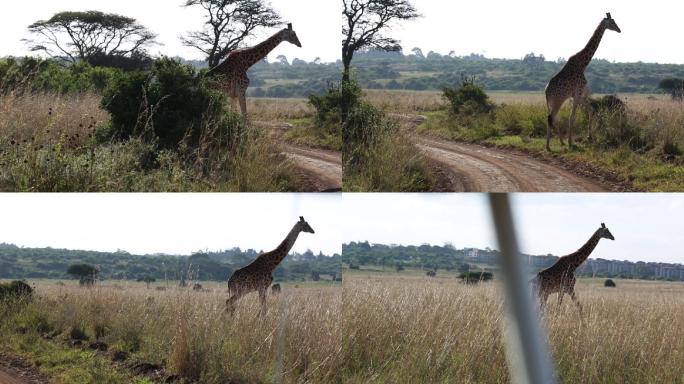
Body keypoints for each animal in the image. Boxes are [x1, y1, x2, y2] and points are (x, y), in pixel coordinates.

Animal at [544, 13, 620, 152]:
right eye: (612, 22)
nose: (619, 30)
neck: (583, 63)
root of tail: (546, 92)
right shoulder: (578, 92)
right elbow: (572, 117)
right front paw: (571, 142)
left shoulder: (577, 95)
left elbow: (591, 110)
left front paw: (589, 136)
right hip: (558, 100)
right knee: (550, 118)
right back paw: (549, 145)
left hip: (552, 103)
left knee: (552, 118)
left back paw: (560, 141)